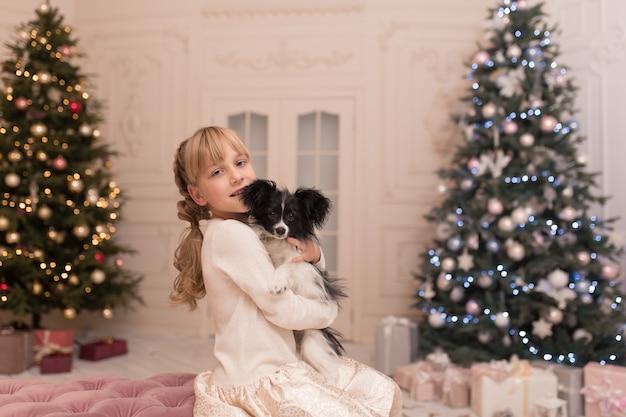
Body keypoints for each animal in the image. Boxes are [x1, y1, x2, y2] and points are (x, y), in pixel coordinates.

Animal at [240, 179, 346, 380]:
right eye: (272, 214)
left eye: (291, 216)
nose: (281, 230)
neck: (280, 243)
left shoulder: (304, 267)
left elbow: (287, 266)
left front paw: (277, 284)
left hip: (312, 343)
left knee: (331, 372)